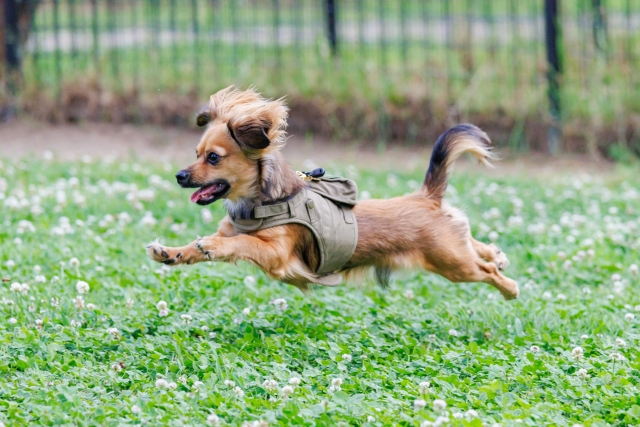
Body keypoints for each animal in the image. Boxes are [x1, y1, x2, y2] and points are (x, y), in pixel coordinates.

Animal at [148, 86, 516, 300]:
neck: (259, 205)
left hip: (453, 265)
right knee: (475, 244)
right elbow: (195, 248)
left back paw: (510, 288)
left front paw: (212, 245)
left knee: (485, 272)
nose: (179, 176)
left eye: (213, 158)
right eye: (196, 153)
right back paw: (497, 254)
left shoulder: (277, 254)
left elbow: (241, 243)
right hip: (452, 252)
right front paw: (171, 252)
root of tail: (426, 196)